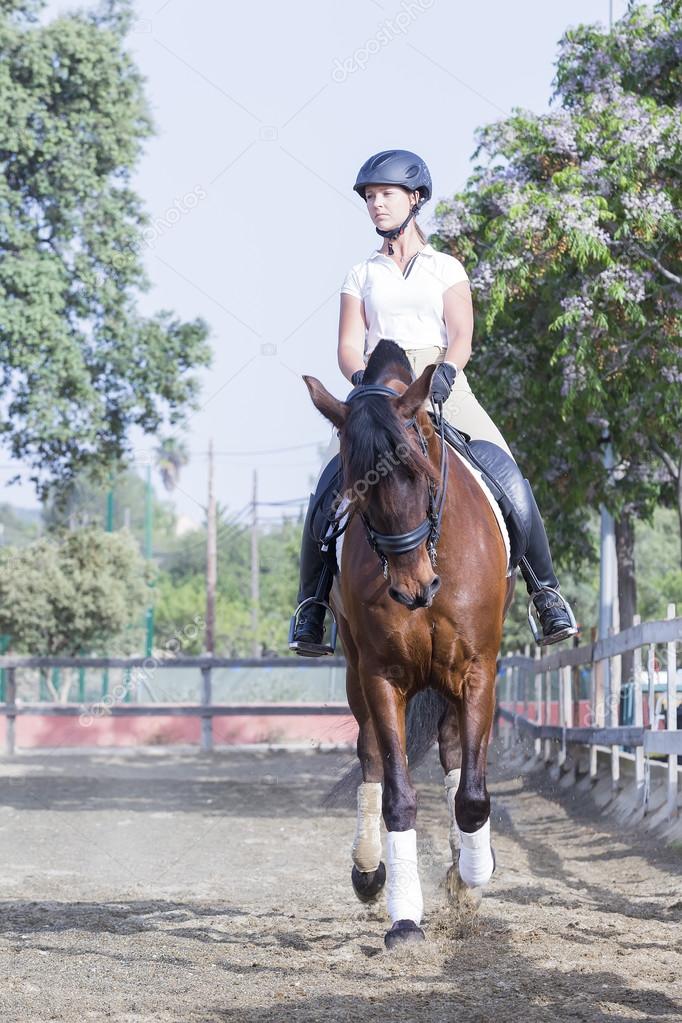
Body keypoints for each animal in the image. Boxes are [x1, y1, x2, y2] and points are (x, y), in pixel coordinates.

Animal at [304, 341, 511, 949]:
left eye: (421, 475)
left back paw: (466, 870)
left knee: (454, 752)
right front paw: (404, 917)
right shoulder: (381, 676)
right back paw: (370, 871)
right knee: (372, 755)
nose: (413, 589)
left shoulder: (478, 669)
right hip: (356, 675)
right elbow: (398, 794)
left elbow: (472, 797)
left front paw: (472, 876)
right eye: (357, 488)